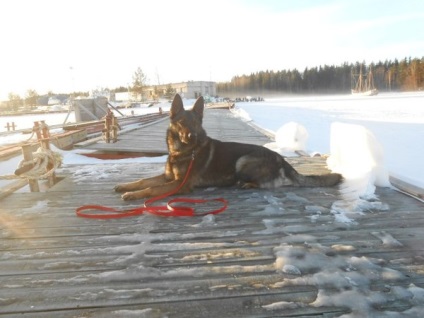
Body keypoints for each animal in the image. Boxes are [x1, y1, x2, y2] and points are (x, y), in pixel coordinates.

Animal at [113, 93, 342, 200]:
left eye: (196, 123)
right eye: (182, 123)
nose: (192, 136)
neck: (182, 152)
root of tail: (282, 160)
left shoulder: (179, 184)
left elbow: (152, 188)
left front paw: (132, 195)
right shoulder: (169, 178)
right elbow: (144, 180)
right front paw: (126, 186)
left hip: (243, 160)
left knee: (264, 184)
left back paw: (246, 184)